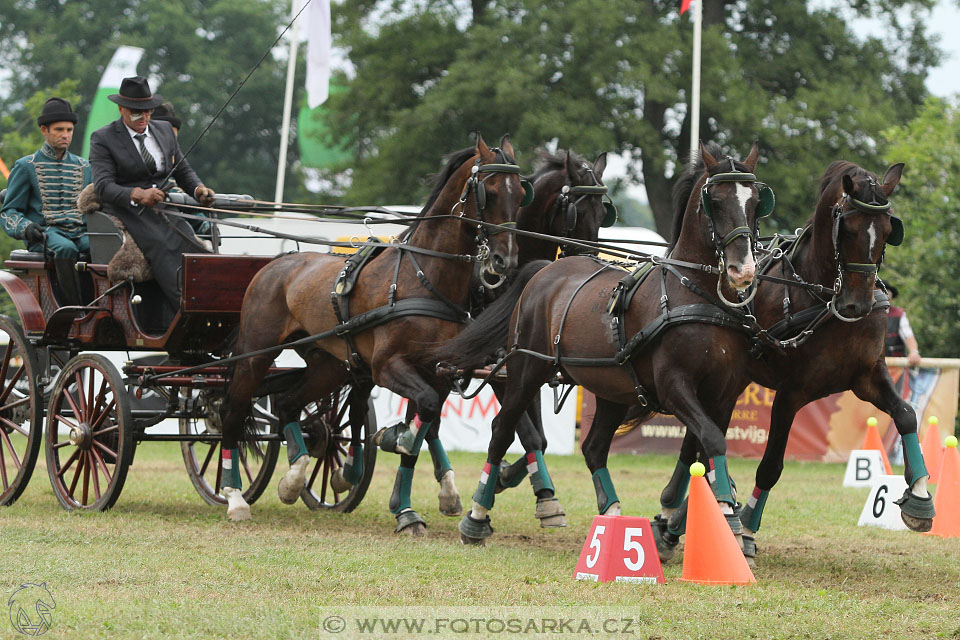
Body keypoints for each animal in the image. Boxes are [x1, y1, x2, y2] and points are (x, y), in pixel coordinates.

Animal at [218, 135, 528, 528]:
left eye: (521, 193)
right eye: (489, 192)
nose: (505, 261)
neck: (423, 277)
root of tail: (276, 263)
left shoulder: (440, 372)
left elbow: (427, 423)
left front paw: (412, 504)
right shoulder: (386, 366)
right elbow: (422, 417)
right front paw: (394, 441)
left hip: (329, 366)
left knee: (288, 403)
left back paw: (294, 478)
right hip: (255, 355)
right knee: (231, 412)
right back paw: (234, 498)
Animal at [438, 142, 768, 544]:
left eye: (756, 202)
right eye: (715, 201)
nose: (743, 270)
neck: (694, 295)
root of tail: (545, 270)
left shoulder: (722, 393)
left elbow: (702, 449)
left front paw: (708, 512)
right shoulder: (674, 386)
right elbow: (712, 441)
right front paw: (728, 517)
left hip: (614, 388)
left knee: (593, 448)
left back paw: (611, 521)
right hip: (527, 368)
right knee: (502, 429)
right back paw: (476, 515)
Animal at [652, 160, 936, 564]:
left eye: (887, 230)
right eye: (848, 228)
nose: (858, 304)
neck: (821, 296)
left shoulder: (867, 377)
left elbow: (908, 415)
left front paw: (920, 497)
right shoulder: (791, 393)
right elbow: (771, 466)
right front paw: (747, 529)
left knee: (700, 438)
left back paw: (680, 516)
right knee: (698, 441)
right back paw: (675, 515)